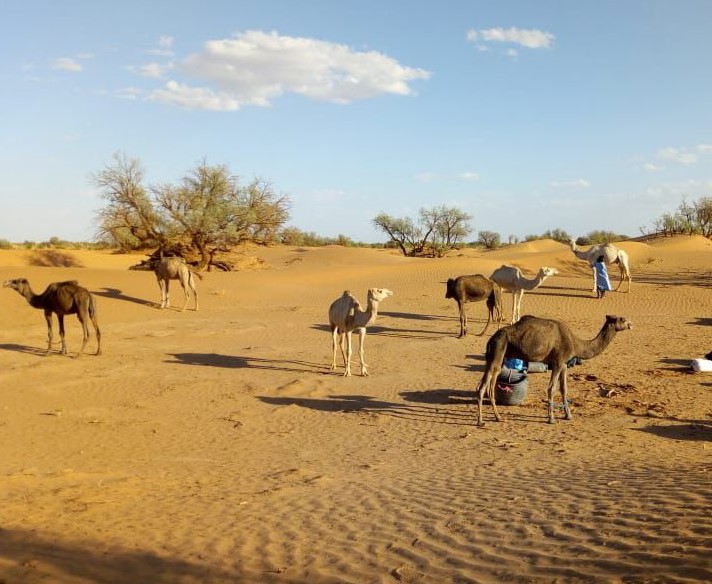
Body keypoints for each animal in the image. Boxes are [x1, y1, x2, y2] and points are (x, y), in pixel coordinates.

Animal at [475, 314, 632, 425]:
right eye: (622, 319)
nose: (631, 324)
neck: (575, 343)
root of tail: (492, 339)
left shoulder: (564, 365)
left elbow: (564, 389)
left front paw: (568, 415)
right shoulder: (557, 362)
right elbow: (551, 389)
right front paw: (551, 419)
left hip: (498, 355)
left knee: (489, 383)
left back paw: (498, 417)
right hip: (499, 348)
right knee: (483, 386)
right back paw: (481, 421)